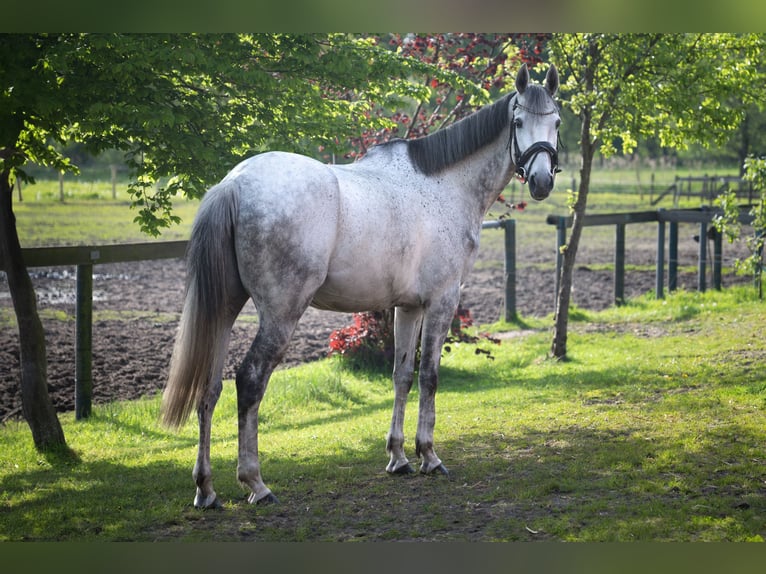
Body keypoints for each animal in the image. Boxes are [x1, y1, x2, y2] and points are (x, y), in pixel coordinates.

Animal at [162, 63, 560, 508]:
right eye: (519, 122)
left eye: (558, 122)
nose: (542, 181)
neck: (444, 185)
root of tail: (234, 182)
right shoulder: (442, 301)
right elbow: (429, 376)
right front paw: (429, 456)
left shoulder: (409, 307)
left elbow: (402, 375)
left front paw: (398, 457)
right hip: (281, 313)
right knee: (249, 381)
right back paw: (256, 483)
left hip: (225, 310)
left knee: (209, 389)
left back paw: (206, 489)